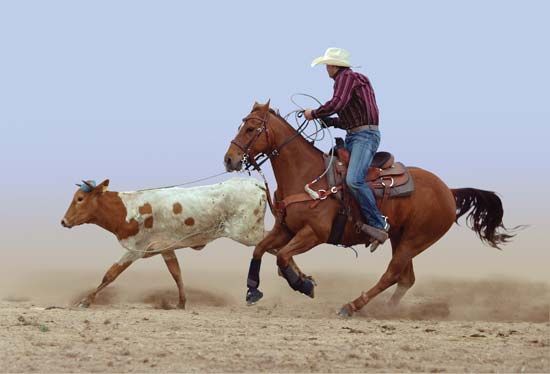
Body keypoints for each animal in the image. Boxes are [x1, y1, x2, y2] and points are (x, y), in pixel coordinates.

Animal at [222, 101, 516, 318]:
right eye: (241, 125)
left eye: (251, 129)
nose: (229, 159)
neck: (308, 175)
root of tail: (449, 191)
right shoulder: (285, 229)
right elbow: (262, 249)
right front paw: (254, 290)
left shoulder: (314, 233)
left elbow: (282, 256)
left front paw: (303, 284)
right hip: (400, 237)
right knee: (406, 278)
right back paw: (387, 310)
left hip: (414, 240)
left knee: (392, 274)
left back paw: (352, 306)